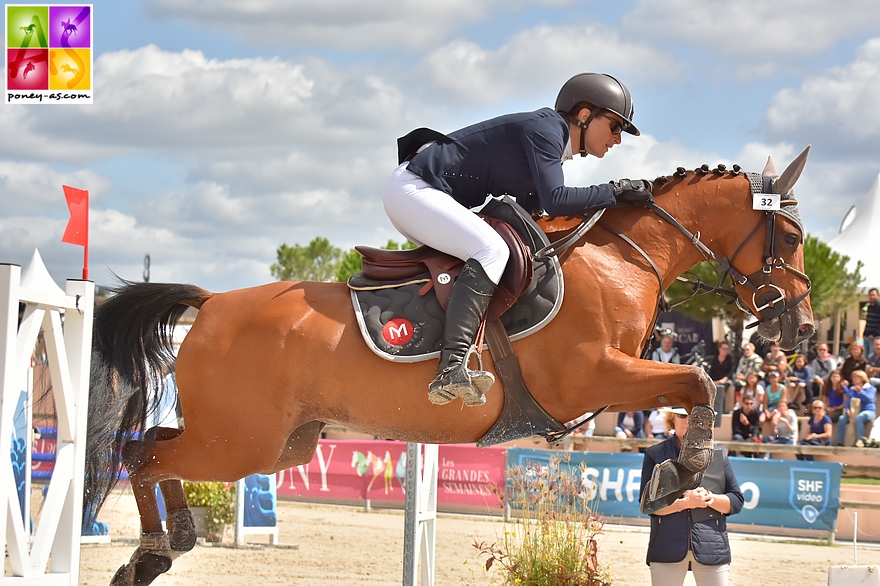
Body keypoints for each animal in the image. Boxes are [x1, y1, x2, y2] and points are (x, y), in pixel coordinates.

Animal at [86, 149, 816, 580]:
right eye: (791, 235)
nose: (802, 328)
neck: (622, 256)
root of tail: (210, 305)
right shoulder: (594, 375)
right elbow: (699, 381)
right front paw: (680, 474)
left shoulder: (609, 382)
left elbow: (697, 386)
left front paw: (677, 472)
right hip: (240, 441)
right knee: (145, 456)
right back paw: (153, 552)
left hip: (275, 444)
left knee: (154, 449)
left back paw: (165, 549)